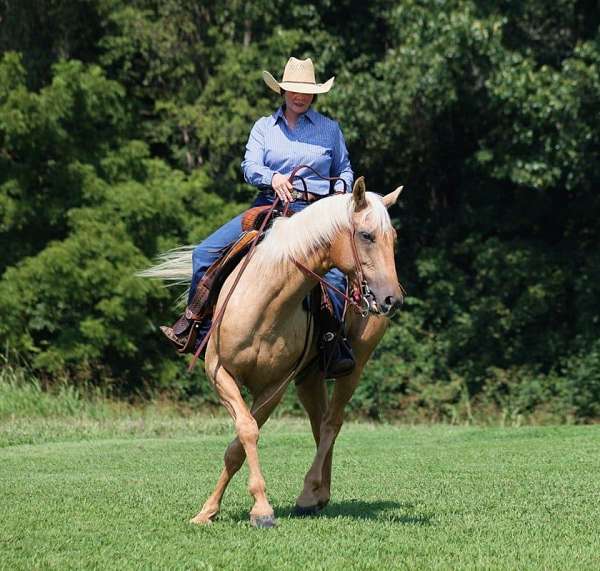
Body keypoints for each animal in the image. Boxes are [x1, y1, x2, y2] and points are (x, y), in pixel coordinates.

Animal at [148, 178, 406, 528]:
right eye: (366, 235)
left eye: (393, 238)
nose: (393, 298)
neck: (264, 301)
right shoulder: (219, 373)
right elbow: (243, 435)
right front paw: (208, 511)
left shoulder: (274, 387)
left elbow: (242, 440)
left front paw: (260, 509)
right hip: (310, 377)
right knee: (319, 422)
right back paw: (320, 495)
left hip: (356, 366)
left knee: (331, 422)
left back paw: (309, 493)